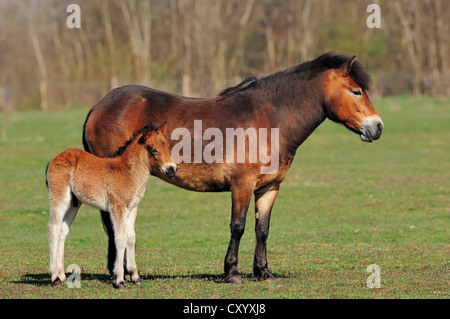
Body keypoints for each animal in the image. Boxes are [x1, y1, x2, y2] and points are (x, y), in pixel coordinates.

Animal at [45, 121, 176, 288]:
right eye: (153, 149)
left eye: (167, 146)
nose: (172, 169)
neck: (127, 172)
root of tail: (53, 160)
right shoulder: (117, 208)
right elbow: (120, 239)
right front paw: (119, 280)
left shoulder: (132, 208)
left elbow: (131, 238)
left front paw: (135, 277)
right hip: (60, 197)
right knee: (53, 228)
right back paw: (54, 277)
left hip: (73, 204)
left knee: (63, 231)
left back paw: (62, 276)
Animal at [81, 53, 384, 284]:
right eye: (356, 91)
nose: (378, 127)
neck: (272, 119)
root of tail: (98, 106)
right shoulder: (242, 184)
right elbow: (237, 226)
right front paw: (233, 272)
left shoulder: (269, 187)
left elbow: (262, 229)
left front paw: (263, 272)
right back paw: (119, 273)